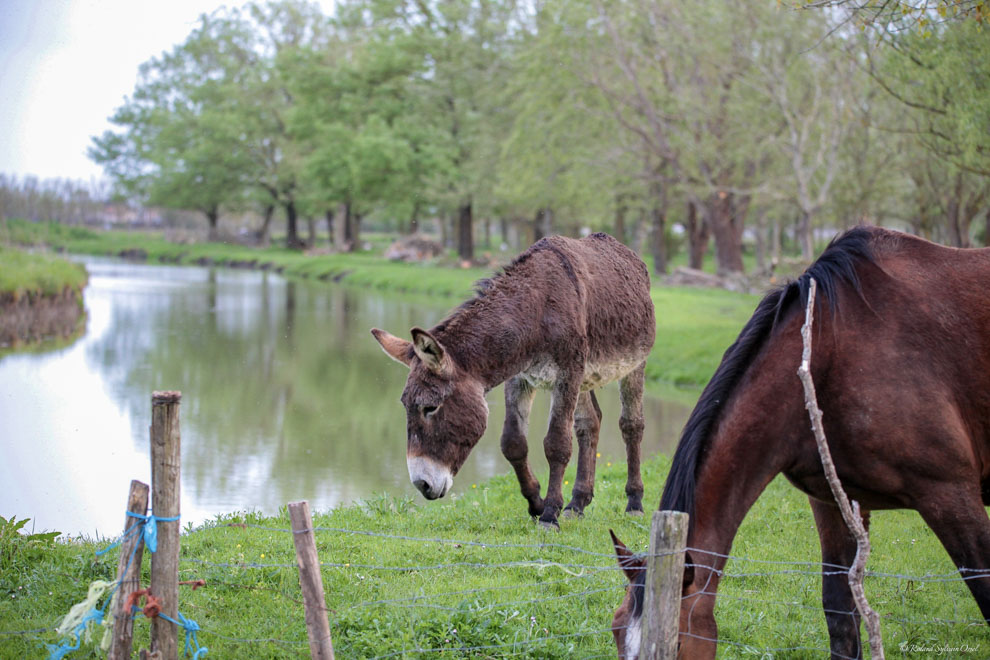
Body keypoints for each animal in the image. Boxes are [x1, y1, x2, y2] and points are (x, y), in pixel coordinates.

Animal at [372, 235, 660, 528]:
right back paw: (577, 503)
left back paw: (634, 502)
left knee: (631, 425)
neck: (535, 310)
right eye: (406, 406)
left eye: (430, 408)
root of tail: (620, 247)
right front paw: (537, 504)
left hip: (633, 365)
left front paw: (549, 515)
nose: (422, 485)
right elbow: (513, 443)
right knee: (590, 422)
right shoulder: (520, 378)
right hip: (584, 378)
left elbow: (557, 443)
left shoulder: (566, 374)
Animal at [612, 226, 990, 656]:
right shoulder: (834, 504)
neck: (829, 350)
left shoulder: (952, 496)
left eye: (674, 644)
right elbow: (841, 618)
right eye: (616, 630)